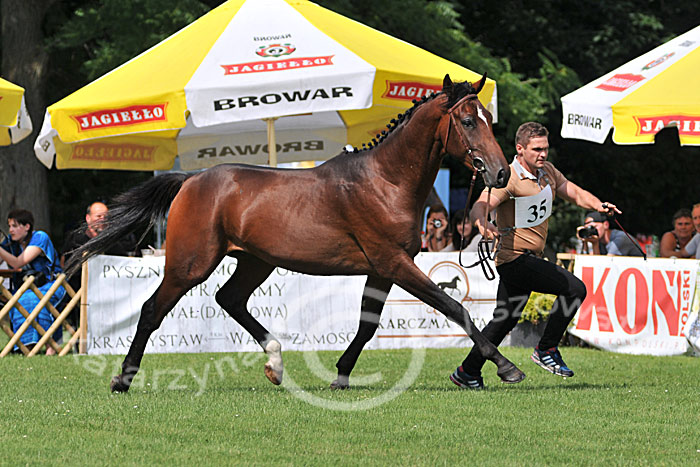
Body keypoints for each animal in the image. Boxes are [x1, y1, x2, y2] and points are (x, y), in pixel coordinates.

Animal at [67, 75, 524, 394]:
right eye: (468, 121)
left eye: (487, 119)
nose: (501, 173)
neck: (385, 181)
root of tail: (191, 180)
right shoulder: (395, 263)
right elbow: (454, 307)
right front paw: (507, 367)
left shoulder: (381, 269)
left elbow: (367, 325)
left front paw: (340, 376)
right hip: (189, 264)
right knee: (151, 310)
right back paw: (122, 380)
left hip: (255, 262)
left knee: (229, 299)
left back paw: (275, 363)